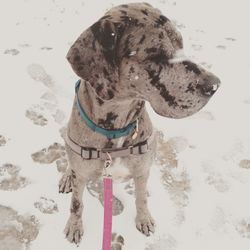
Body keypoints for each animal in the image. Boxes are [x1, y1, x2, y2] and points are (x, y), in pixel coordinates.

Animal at [59, 1, 221, 244]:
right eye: (156, 54)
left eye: (181, 44)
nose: (215, 84)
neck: (116, 131)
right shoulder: (81, 176)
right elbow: (76, 205)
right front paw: (74, 226)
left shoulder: (143, 171)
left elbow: (142, 197)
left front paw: (144, 219)